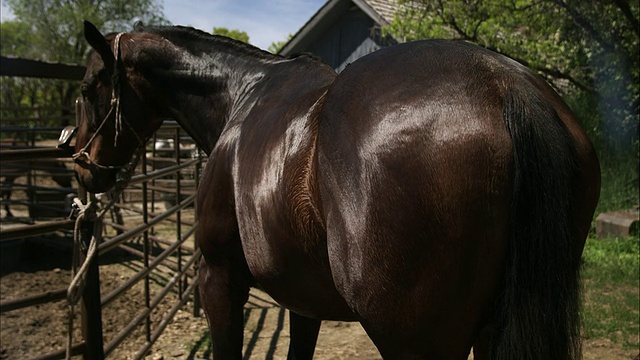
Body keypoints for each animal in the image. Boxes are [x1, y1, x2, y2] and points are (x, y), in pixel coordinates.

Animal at [75, 22, 600, 360]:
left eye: (85, 88)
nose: (82, 167)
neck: (241, 98)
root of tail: (506, 86)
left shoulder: (218, 278)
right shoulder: (302, 297)